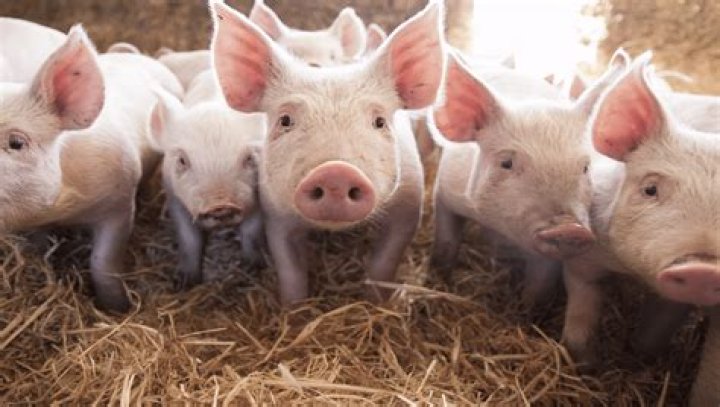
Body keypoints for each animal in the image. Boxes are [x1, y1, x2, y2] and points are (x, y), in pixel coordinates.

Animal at [0, 26, 181, 312]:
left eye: (16, 142)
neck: (62, 211)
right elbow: (38, 247)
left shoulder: (119, 202)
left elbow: (102, 262)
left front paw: (118, 307)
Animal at [147, 70, 266, 288]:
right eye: (182, 160)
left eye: (248, 158)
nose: (220, 204)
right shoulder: (174, 198)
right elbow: (188, 238)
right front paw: (184, 283)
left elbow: (251, 232)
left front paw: (253, 268)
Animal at [210, 0, 445, 305]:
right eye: (285, 120)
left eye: (379, 121)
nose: (336, 172)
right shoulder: (275, 213)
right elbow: (290, 269)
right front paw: (293, 309)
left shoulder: (408, 205)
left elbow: (384, 262)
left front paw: (376, 302)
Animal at [429, 50, 629, 307]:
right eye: (506, 163)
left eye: (585, 167)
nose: (571, 228)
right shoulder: (445, 190)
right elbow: (446, 243)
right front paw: (440, 279)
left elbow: (540, 284)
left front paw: (526, 309)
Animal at [560, 53, 720, 367]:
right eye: (650, 189)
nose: (704, 270)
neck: (634, 273)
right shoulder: (585, 250)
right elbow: (582, 299)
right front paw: (583, 359)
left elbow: (657, 328)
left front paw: (639, 355)